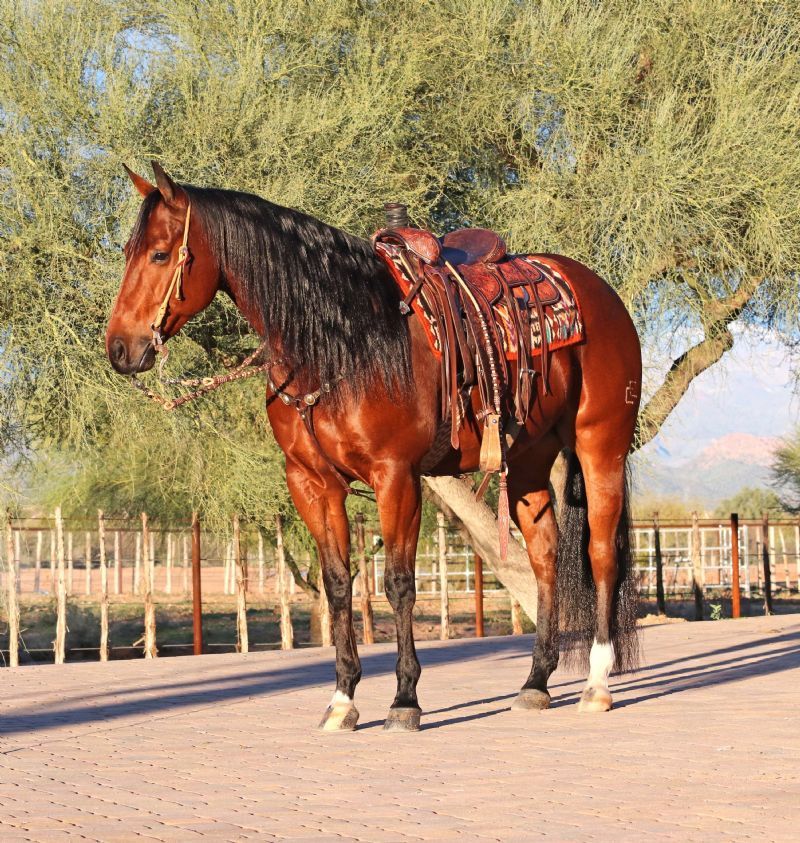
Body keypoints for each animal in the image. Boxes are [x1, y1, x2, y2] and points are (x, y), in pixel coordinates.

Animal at [106, 162, 642, 731]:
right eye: (129, 251)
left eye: (160, 253)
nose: (119, 348)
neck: (340, 342)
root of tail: (600, 293)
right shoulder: (311, 483)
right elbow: (339, 583)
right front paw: (342, 699)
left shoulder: (397, 477)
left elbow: (399, 584)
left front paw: (405, 699)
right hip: (527, 463)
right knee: (545, 556)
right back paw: (536, 682)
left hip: (600, 444)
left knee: (601, 552)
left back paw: (596, 685)